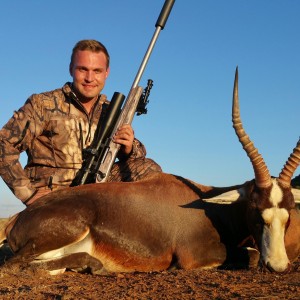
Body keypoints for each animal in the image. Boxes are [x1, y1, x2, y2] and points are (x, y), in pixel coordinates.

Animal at [0, 68, 300, 274]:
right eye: (256, 211)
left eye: (288, 214)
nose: (278, 266)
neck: (209, 206)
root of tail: (17, 219)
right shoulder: (194, 256)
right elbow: (250, 254)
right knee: (14, 265)